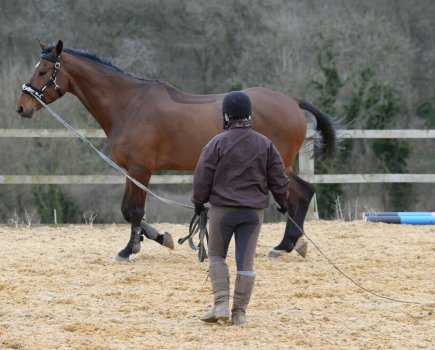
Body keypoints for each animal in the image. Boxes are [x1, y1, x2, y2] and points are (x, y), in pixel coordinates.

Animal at [16, 40, 338, 260]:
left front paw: (129, 249)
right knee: (302, 193)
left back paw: (285, 245)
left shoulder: (141, 170)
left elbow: (134, 210)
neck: (129, 104)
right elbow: (128, 210)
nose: (22, 107)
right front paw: (159, 237)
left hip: (278, 164)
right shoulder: (130, 171)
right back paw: (290, 244)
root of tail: (291, 102)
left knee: (302, 193)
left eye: (43, 70)